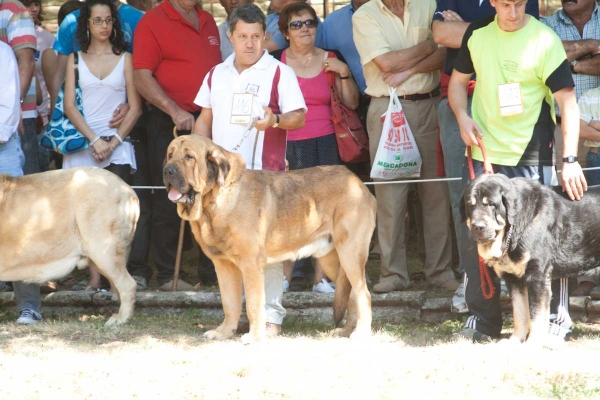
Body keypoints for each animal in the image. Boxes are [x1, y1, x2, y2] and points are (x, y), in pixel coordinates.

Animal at [162, 136, 372, 342]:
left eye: (189, 157)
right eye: (170, 154)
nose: (167, 170)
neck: (213, 202)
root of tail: (357, 182)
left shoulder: (251, 265)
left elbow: (254, 305)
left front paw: (255, 336)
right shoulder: (223, 266)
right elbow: (230, 304)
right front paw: (223, 332)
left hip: (350, 255)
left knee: (364, 294)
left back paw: (361, 333)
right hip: (331, 261)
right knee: (351, 295)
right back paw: (346, 331)